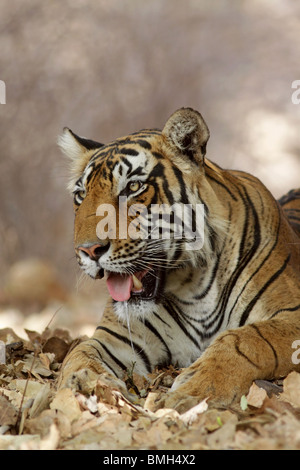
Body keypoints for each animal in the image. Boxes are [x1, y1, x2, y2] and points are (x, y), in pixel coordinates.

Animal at [56, 107, 300, 412]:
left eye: (132, 187)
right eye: (80, 195)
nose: (88, 251)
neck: (193, 286)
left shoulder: (291, 315)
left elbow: (246, 339)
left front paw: (193, 392)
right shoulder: (116, 336)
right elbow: (81, 351)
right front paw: (82, 383)